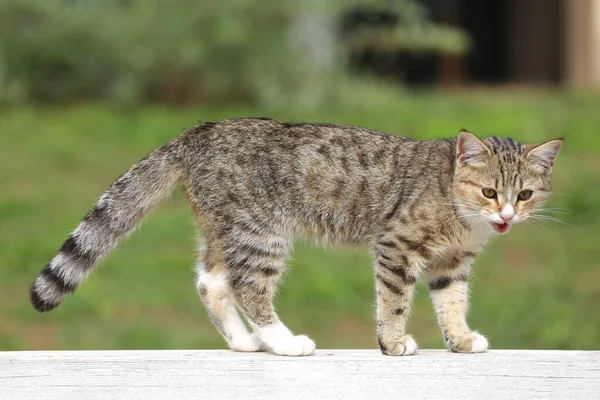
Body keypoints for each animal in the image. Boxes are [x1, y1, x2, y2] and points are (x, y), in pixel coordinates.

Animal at [29, 119, 564, 356]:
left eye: (526, 194)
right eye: (489, 191)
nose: (507, 215)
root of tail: (199, 131)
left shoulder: (451, 264)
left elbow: (452, 302)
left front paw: (460, 338)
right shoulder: (396, 245)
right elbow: (394, 302)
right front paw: (393, 342)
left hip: (226, 229)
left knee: (211, 282)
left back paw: (244, 342)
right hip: (260, 232)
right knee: (248, 286)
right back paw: (284, 342)